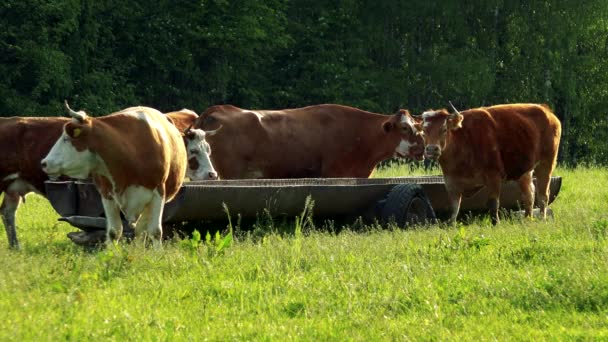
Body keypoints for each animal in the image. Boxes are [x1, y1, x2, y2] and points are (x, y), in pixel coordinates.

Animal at [41, 101, 186, 246]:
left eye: (66, 138)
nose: (44, 163)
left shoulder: (158, 193)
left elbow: (155, 231)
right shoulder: (106, 194)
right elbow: (113, 231)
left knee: (142, 228)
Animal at [416, 102, 564, 224]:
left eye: (444, 129)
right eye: (423, 132)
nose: (432, 149)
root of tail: (547, 111)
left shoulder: (494, 177)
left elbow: (493, 203)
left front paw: (495, 223)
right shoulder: (451, 182)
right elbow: (454, 207)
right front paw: (451, 224)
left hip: (546, 164)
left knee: (543, 195)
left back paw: (542, 218)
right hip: (525, 172)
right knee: (529, 195)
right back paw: (528, 219)